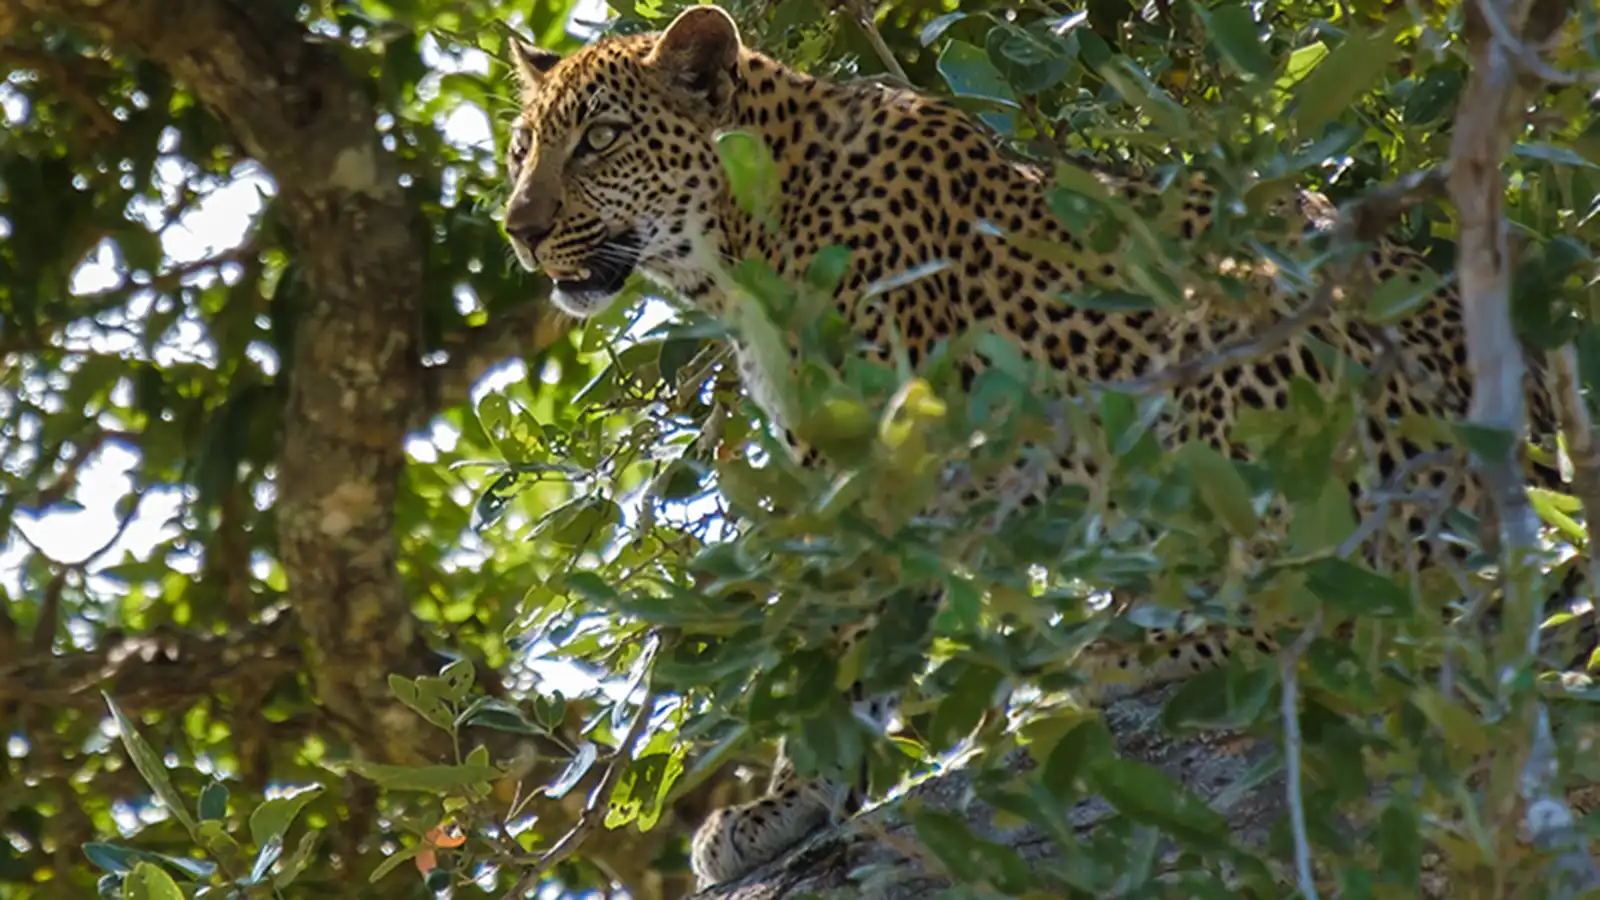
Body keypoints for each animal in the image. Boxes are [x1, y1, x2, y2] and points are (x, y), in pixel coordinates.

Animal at [499, 5, 1586, 890]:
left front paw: (786, 801)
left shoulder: (875, 456)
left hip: (1237, 331)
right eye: (521, 148)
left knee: (1334, 612)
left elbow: (840, 640)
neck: (740, 241)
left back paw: (1115, 655)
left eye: (598, 141)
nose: (518, 228)